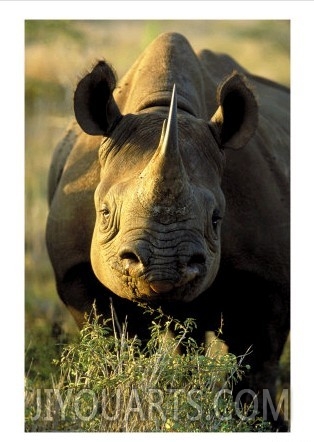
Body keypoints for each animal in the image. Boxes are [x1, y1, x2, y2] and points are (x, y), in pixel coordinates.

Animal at [46, 32, 290, 430]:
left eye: (217, 219)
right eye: (104, 212)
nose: (163, 267)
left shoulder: (267, 277)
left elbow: (256, 365)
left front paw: (258, 424)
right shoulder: (76, 272)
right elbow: (113, 349)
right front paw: (116, 411)